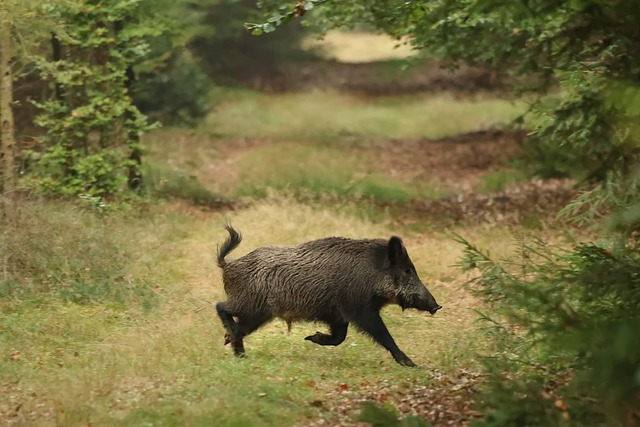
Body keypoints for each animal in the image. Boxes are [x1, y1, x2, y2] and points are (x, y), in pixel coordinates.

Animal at [215, 224, 441, 367]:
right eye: (407, 270)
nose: (437, 306)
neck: (373, 276)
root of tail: (228, 265)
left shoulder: (337, 316)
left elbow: (339, 338)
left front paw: (310, 338)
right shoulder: (360, 310)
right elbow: (383, 335)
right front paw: (410, 363)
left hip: (258, 314)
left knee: (239, 328)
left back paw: (236, 350)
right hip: (249, 304)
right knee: (220, 306)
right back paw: (234, 342)